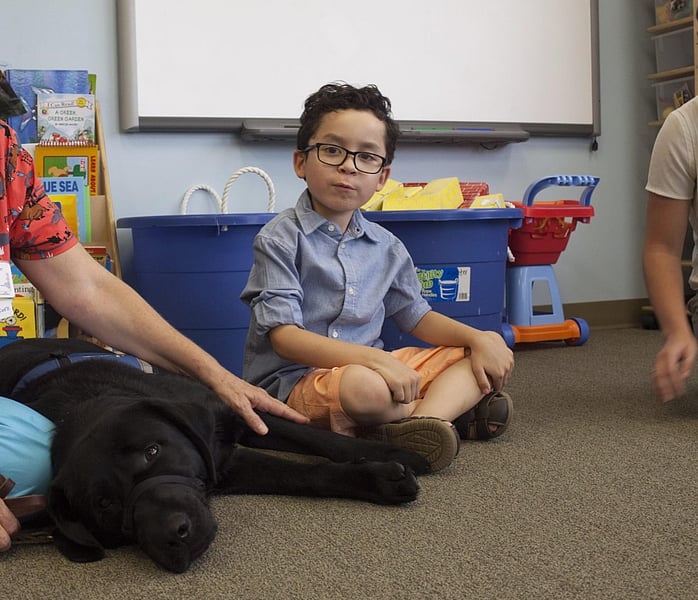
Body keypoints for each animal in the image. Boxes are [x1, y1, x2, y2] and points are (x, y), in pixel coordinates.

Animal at [0, 338, 426, 572]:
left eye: (152, 451)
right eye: (102, 504)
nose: (171, 534)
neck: (83, 399)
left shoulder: (238, 418)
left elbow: (318, 439)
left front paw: (392, 452)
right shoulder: (226, 466)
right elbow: (307, 474)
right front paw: (377, 477)